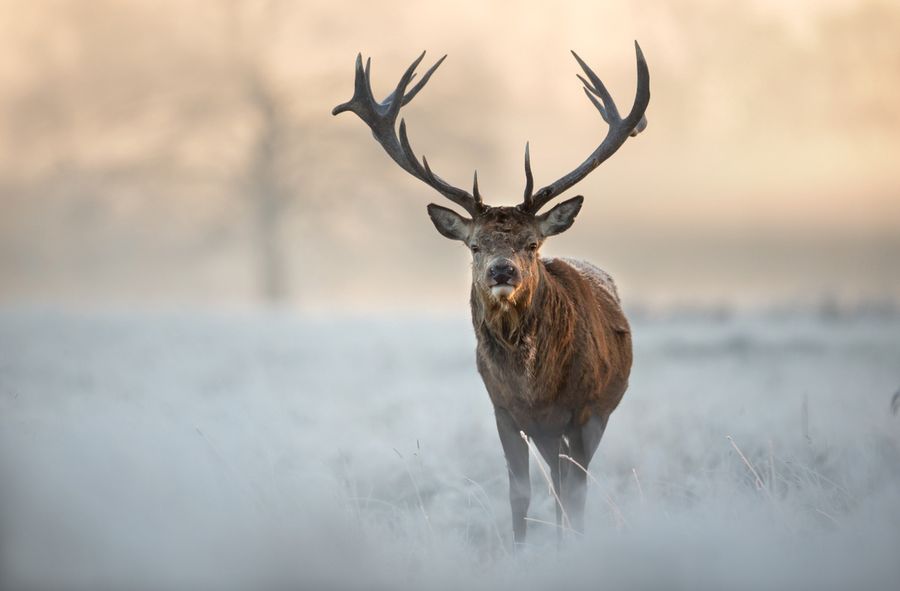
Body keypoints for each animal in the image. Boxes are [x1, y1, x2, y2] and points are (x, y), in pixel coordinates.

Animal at [334, 44, 652, 544]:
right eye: (475, 245)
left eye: (533, 243)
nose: (502, 270)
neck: (535, 388)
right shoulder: (503, 410)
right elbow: (519, 493)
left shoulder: (584, 410)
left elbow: (575, 494)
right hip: (546, 432)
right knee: (555, 482)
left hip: (597, 411)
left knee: (568, 486)